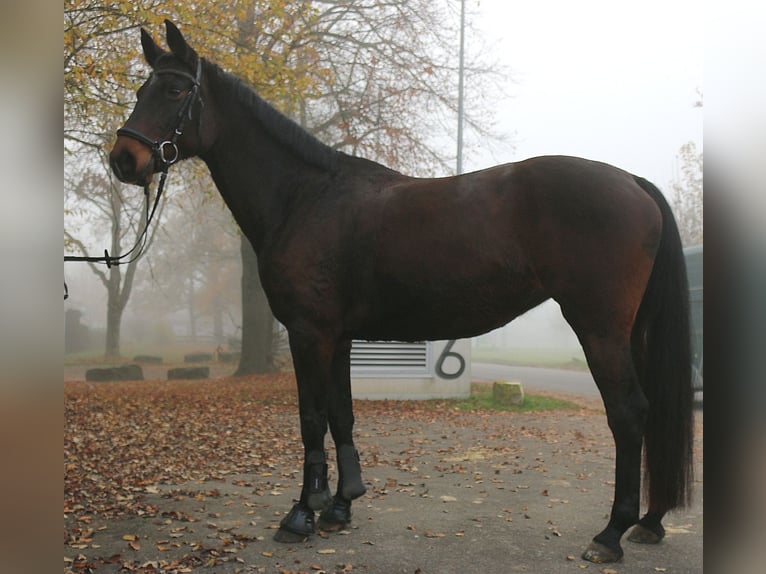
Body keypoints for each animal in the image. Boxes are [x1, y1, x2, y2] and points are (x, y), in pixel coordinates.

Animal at [109, 20, 696, 564]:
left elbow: (311, 418)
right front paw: (340, 505)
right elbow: (341, 414)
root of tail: (632, 182)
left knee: (629, 413)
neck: (306, 197)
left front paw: (301, 513)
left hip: (599, 329)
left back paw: (611, 534)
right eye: (141, 89)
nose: (123, 160)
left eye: (176, 91)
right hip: (631, 331)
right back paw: (649, 522)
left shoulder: (308, 333)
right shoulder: (338, 336)